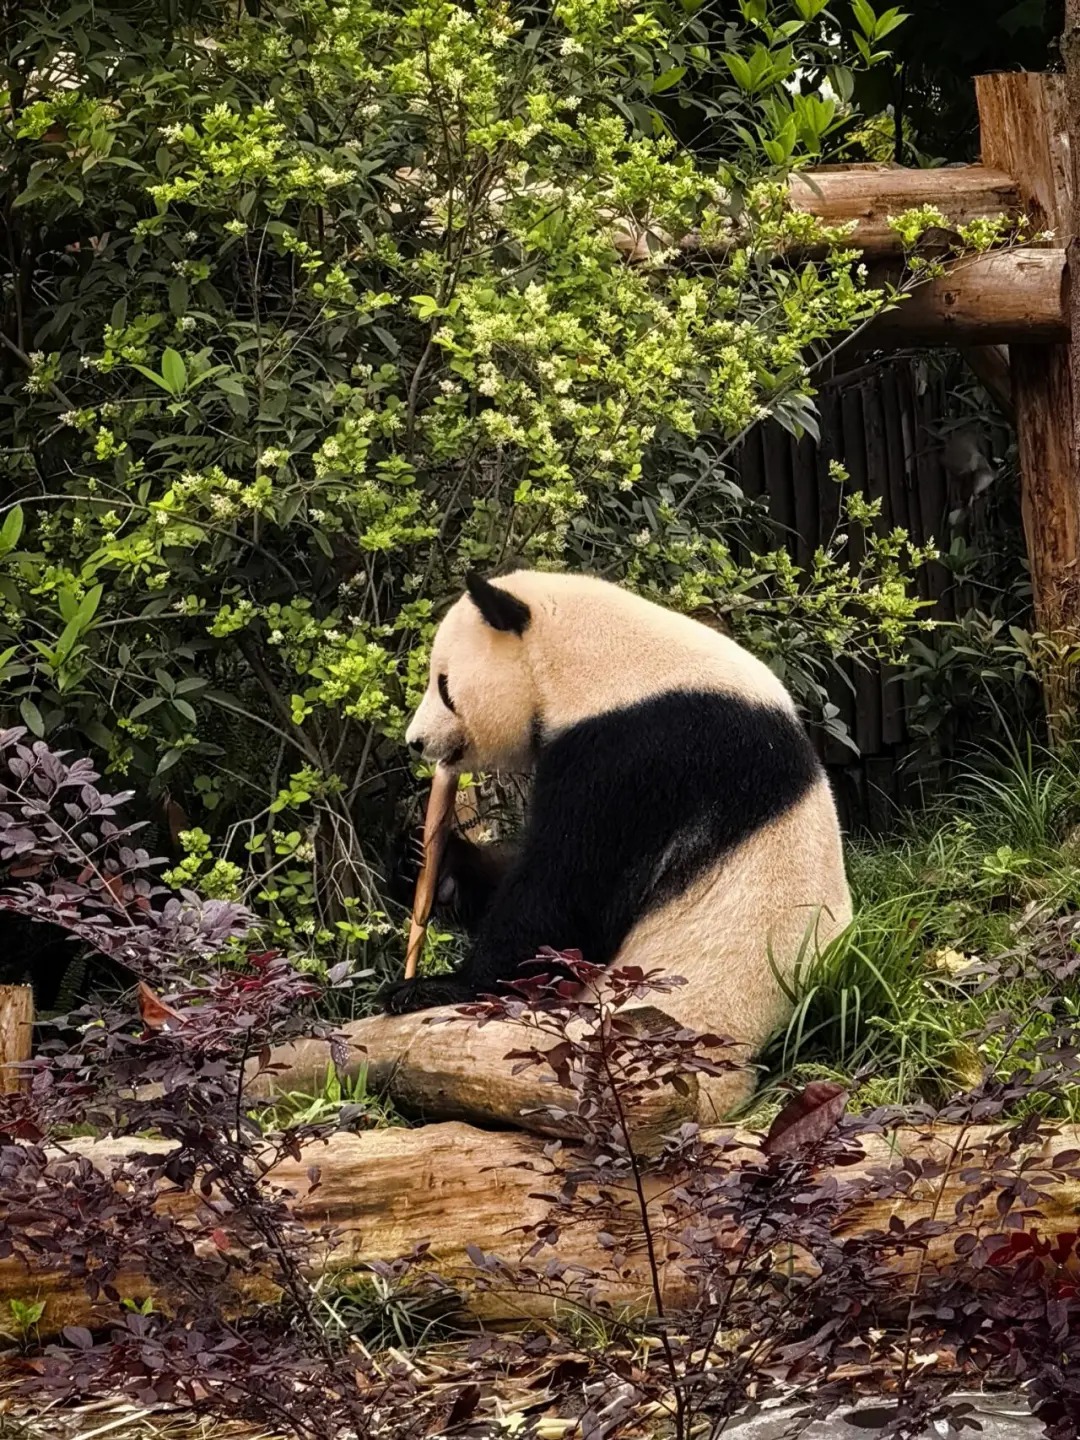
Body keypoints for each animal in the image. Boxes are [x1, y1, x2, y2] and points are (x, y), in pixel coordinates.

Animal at [382, 569, 852, 1119]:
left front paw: (428, 988)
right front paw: (426, 861)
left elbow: (565, 897)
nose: (416, 742)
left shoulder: (637, 758)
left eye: (444, 685)